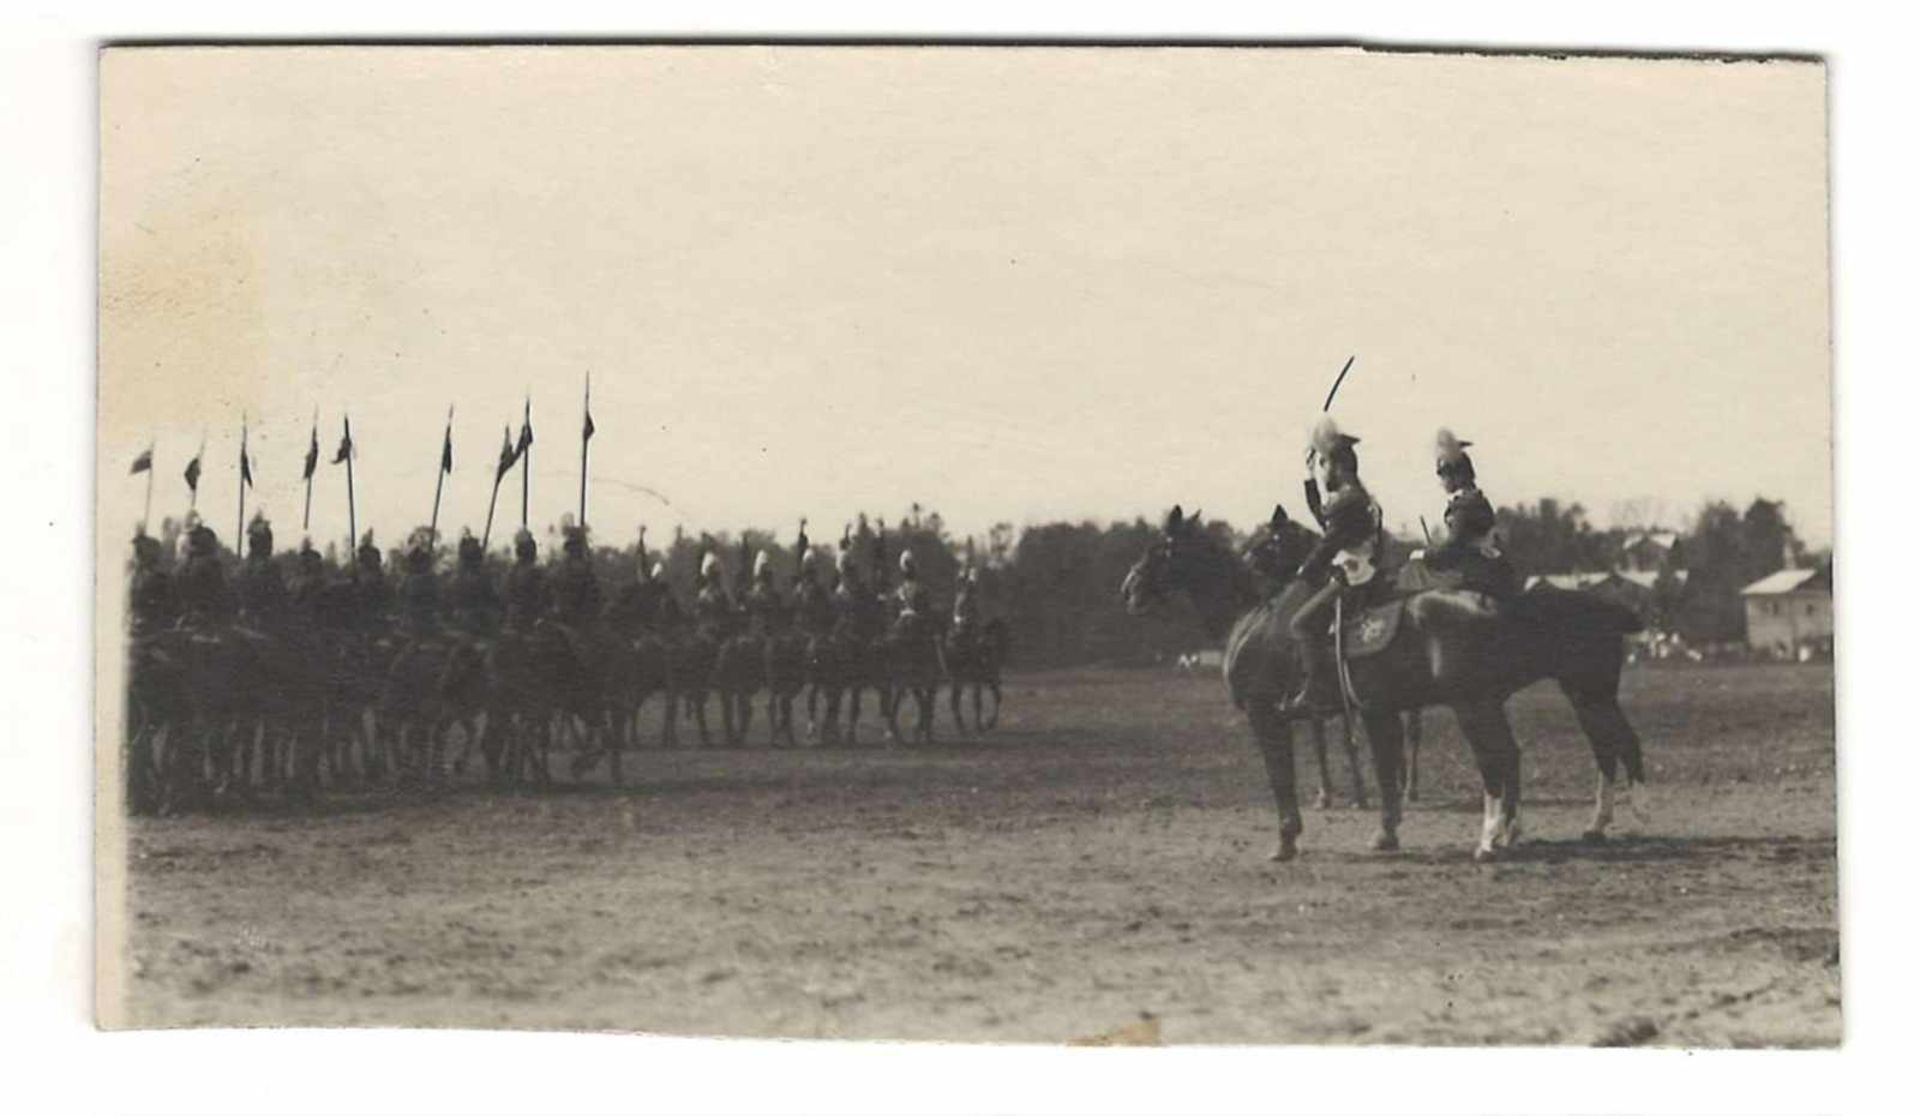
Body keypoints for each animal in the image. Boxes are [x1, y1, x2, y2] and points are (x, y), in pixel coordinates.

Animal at [1121, 507, 1651, 860]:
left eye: (1158, 549)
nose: (1129, 589)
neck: (1255, 613)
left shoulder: (1266, 715)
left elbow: (1282, 778)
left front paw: (1287, 840)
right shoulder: (1379, 710)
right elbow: (1385, 771)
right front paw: (1386, 833)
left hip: (1498, 702)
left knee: (1517, 757)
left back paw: (1497, 839)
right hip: (1575, 694)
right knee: (1595, 748)